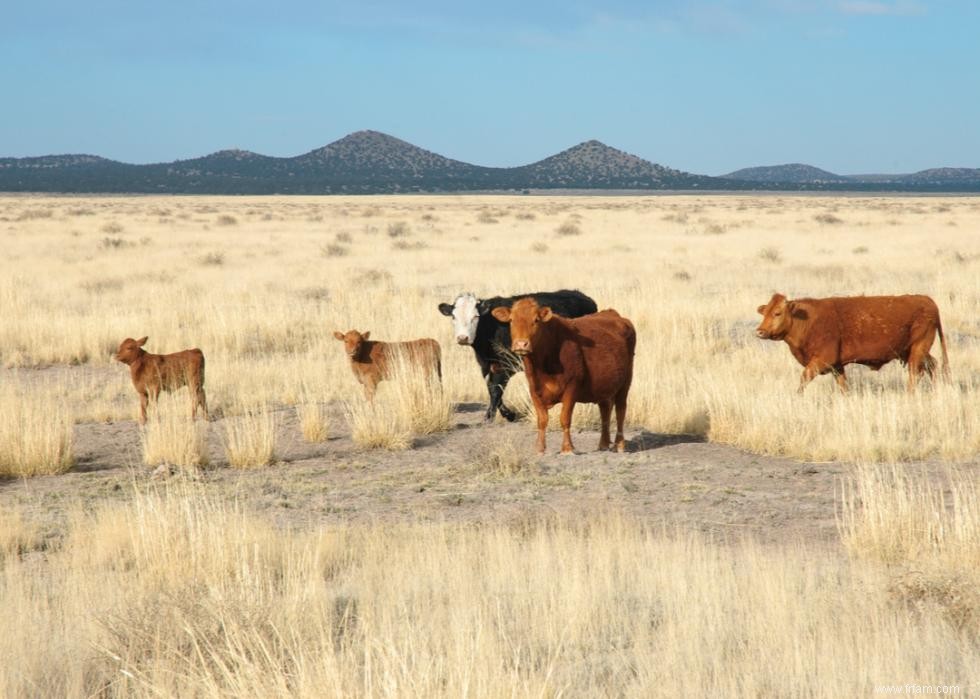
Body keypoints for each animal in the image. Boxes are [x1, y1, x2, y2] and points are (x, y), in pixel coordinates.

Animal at [438, 288, 596, 422]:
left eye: (476, 316)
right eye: (453, 317)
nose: (462, 338)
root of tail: (582, 296)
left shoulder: (506, 364)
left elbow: (496, 389)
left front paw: (490, 416)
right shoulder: (487, 365)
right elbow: (491, 387)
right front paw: (509, 415)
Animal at [490, 300, 636, 454]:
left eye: (536, 320)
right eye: (511, 320)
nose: (521, 344)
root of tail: (613, 314)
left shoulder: (571, 388)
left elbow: (565, 418)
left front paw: (567, 448)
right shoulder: (534, 390)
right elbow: (542, 420)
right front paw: (539, 448)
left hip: (625, 382)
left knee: (620, 411)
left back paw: (619, 444)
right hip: (604, 386)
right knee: (605, 411)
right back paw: (603, 444)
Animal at [756, 292, 948, 394]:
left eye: (777, 313)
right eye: (764, 313)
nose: (760, 331)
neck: (808, 320)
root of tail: (926, 299)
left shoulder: (821, 361)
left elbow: (804, 378)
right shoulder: (837, 366)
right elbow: (843, 386)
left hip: (917, 350)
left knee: (915, 373)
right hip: (911, 352)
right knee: (931, 365)